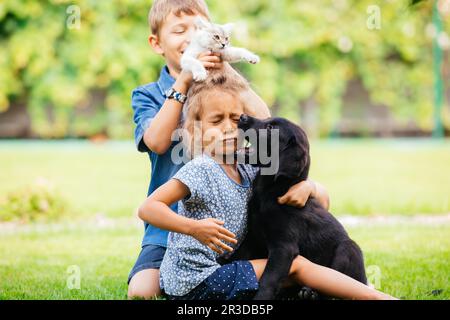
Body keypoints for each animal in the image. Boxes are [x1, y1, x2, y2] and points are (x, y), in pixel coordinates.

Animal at [220, 114, 368, 300]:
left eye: (270, 128)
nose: (242, 116)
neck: (270, 193)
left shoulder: (284, 248)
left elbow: (268, 279)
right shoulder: (252, 238)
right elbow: (242, 258)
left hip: (349, 249)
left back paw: (311, 292)